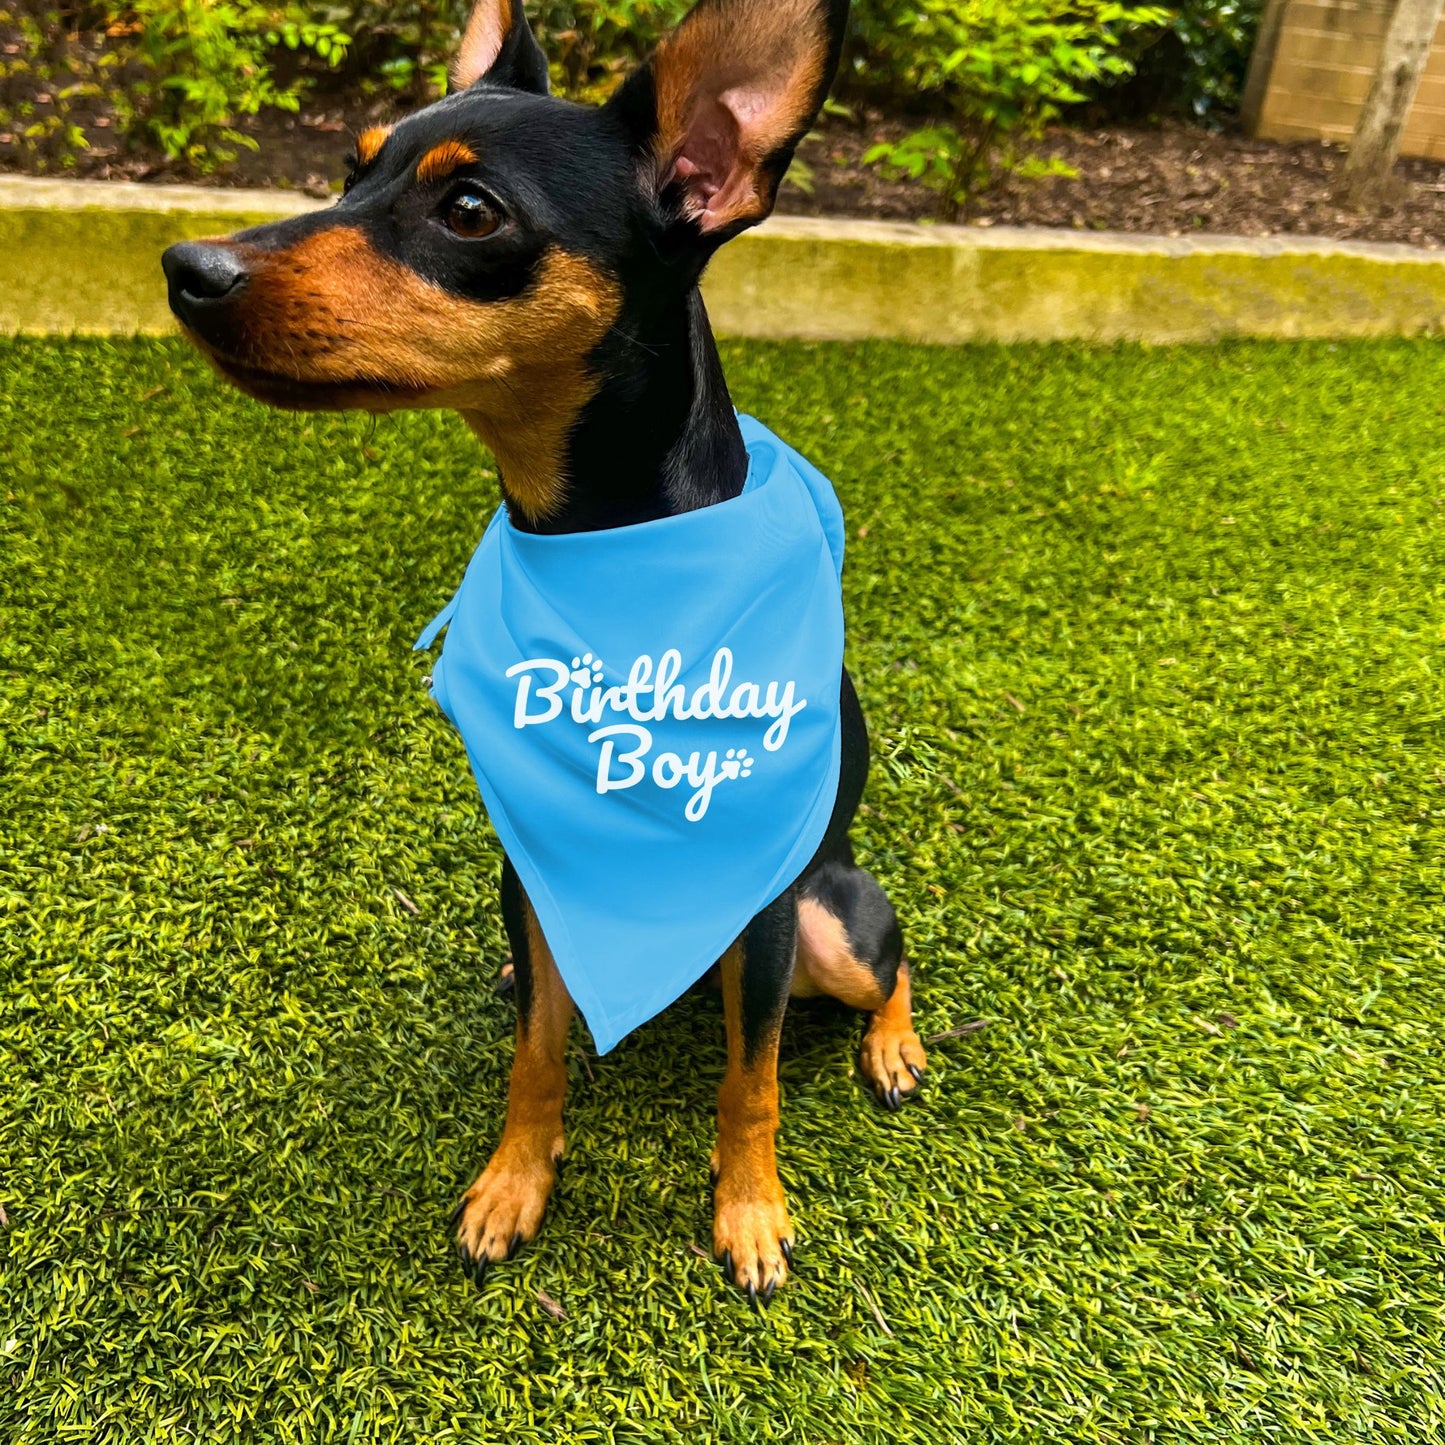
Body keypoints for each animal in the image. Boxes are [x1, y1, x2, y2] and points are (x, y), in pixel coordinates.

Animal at [158, 0, 924, 1306]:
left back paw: (895, 1045)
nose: (186, 268)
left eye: (471, 212)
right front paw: (514, 1180)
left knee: (892, 958)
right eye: (349, 170)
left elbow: (752, 1080)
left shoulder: (766, 907)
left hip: (832, 918)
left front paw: (750, 1211)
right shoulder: (528, 856)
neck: (599, 557)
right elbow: (536, 1056)